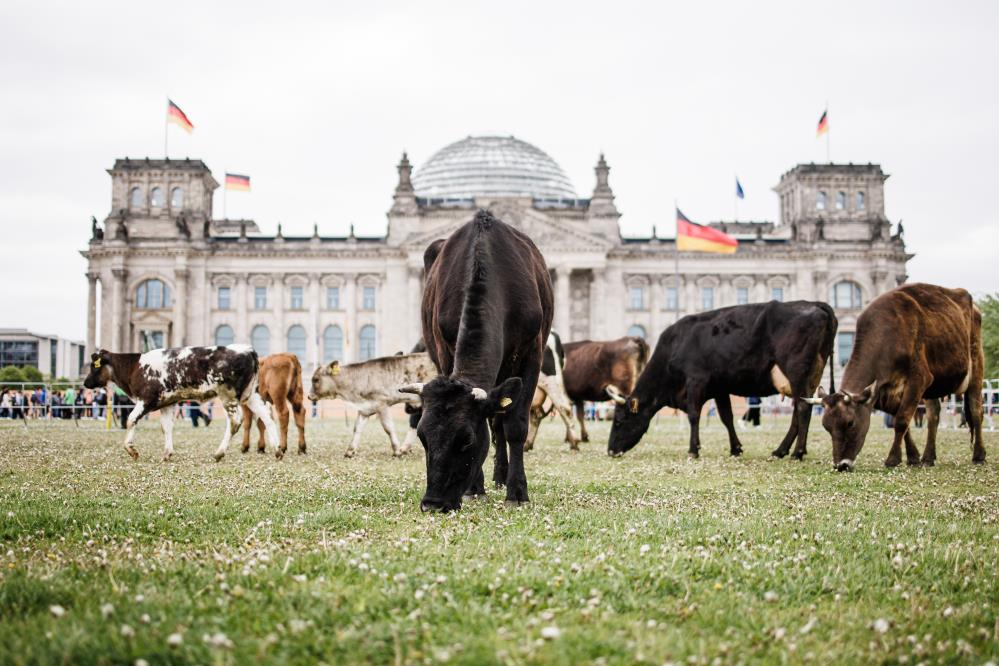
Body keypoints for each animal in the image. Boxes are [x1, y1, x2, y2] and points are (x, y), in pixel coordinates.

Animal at [82, 344, 276, 460]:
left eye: (94, 366)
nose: (85, 383)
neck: (135, 366)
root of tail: (247, 349)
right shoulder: (168, 403)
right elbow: (166, 427)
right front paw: (167, 453)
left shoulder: (147, 400)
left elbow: (131, 420)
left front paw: (132, 450)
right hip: (251, 395)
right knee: (267, 417)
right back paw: (277, 450)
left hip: (228, 395)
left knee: (235, 421)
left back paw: (219, 453)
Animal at [306, 352, 436, 456]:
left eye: (316, 379)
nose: (309, 396)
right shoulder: (365, 409)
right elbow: (357, 428)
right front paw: (350, 451)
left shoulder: (381, 404)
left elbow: (388, 428)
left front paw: (396, 451)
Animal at [398, 210, 556, 510]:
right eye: (422, 437)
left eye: (467, 440)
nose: (432, 504)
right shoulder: (445, 351)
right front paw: (474, 488)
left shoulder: (532, 354)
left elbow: (516, 424)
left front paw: (517, 491)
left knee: (501, 422)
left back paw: (503, 477)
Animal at [608, 304, 836, 460]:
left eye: (619, 421)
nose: (610, 450)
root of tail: (815, 305)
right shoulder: (719, 387)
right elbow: (726, 417)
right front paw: (735, 449)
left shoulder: (695, 379)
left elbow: (694, 415)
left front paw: (693, 450)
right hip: (809, 379)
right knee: (799, 410)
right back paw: (780, 451)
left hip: (797, 372)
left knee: (803, 410)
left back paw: (797, 452)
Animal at [808, 282, 988, 470]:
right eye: (826, 426)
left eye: (850, 423)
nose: (841, 465)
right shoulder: (885, 392)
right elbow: (902, 420)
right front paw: (913, 457)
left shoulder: (919, 379)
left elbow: (901, 420)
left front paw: (893, 459)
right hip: (934, 386)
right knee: (933, 416)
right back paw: (928, 457)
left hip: (976, 367)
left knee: (976, 411)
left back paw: (979, 455)